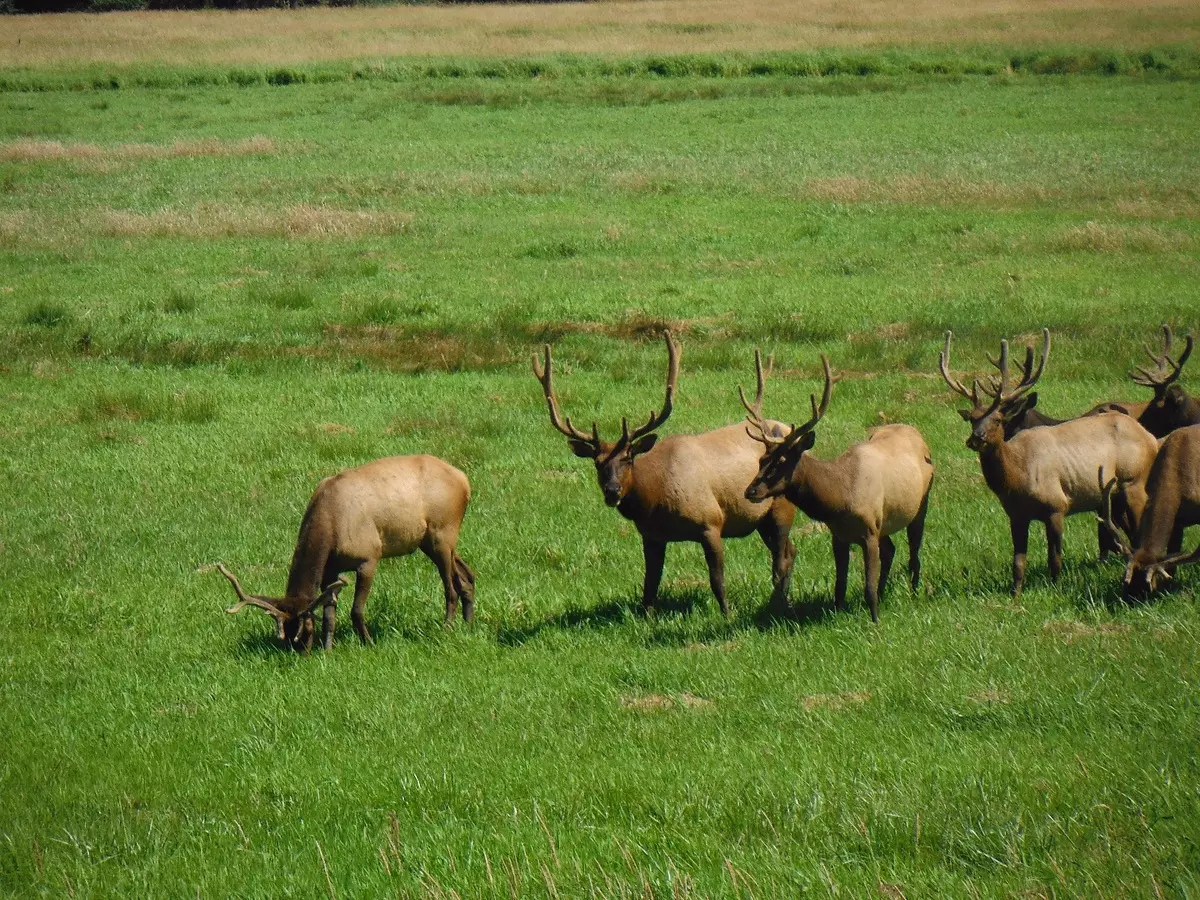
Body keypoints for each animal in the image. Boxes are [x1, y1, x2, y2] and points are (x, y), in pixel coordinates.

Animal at [219, 454, 476, 651]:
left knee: (451, 587)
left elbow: (356, 610)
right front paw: (328, 649)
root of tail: (465, 481)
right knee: (467, 576)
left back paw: (447, 628)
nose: (300, 652)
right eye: (285, 635)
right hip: (431, 542)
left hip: (442, 534)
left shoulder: (369, 557)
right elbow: (330, 615)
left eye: (305, 627)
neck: (330, 527)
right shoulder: (330, 571)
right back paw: (468, 622)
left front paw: (368, 642)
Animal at [533, 332, 798, 617]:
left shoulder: (711, 522)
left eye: (628, 458)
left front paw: (727, 613)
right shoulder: (651, 535)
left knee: (782, 557)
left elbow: (717, 579)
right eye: (597, 463)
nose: (612, 491)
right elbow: (650, 584)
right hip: (762, 520)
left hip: (781, 508)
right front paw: (646, 616)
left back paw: (778, 603)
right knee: (790, 551)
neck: (655, 498)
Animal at [741, 355, 934, 623]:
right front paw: (839, 613)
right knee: (891, 550)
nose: (750, 491)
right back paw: (886, 593)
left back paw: (914, 592)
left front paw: (875, 619)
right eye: (761, 460)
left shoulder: (869, 532)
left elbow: (868, 585)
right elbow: (839, 584)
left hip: (920, 504)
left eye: (781, 461)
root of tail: (917, 433)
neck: (840, 498)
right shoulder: (839, 536)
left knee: (915, 550)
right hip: (884, 523)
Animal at [940, 329, 1159, 597]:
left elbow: (1055, 558)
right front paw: (1015, 594)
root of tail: (1151, 438)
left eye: (999, 419)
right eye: (972, 418)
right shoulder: (1016, 515)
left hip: (1134, 480)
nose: (975, 439)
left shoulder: (1057, 506)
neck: (1017, 479)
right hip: (1114, 495)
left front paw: (1056, 588)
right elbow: (1018, 561)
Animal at [1100, 423, 1200, 599]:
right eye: (1125, 582)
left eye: (1148, 586)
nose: (1129, 600)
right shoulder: (1177, 521)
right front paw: (1169, 585)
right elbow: (1172, 556)